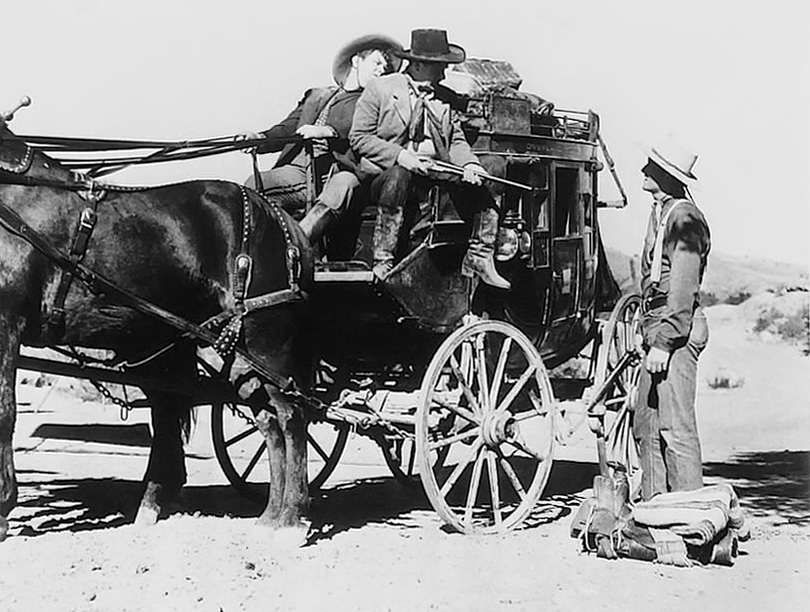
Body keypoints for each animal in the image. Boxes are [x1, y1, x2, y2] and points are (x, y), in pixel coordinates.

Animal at [0, 122, 314, 544]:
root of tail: (282, 220)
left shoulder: (7, 325)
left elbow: (5, 414)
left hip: (267, 343)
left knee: (291, 417)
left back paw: (292, 519)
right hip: (234, 353)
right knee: (267, 423)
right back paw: (268, 515)